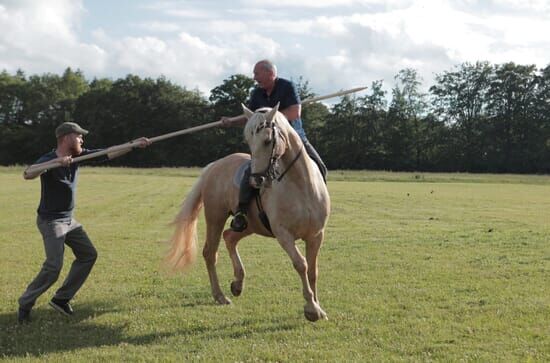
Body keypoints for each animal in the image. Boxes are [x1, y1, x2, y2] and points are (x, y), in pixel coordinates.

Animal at [166, 103, 332, 322]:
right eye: (249, 142)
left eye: (268, 140)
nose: (256, 180)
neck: (300, 185)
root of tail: (214, 166)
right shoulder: (283, 234)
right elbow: (301, 264)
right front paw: (311, 309)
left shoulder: (316, 235)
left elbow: (313, 270)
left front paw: (319, 308)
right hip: (215, 216)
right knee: (210, 252)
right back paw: (220, 296)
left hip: (250, 224)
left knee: (229, 237)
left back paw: (237, 284)